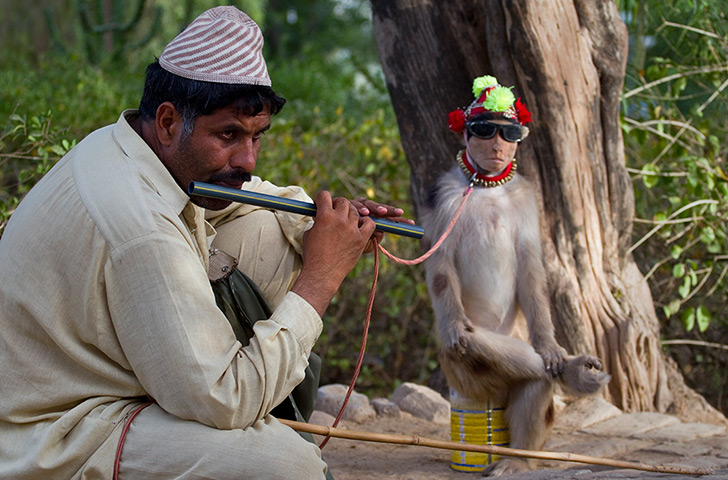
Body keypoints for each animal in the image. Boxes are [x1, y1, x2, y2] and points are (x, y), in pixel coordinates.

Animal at [420, 75, 610, 477]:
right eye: (484, 129)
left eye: (508, 133)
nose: (497, 145)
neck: (488, 185)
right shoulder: (444, 197)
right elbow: (440, 265)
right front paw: (455, 325)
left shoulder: (525, 198)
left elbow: (530, 266)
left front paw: (553, 348)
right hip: (463, 377)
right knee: (488, 350)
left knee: (535, 377)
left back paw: (523, 453)